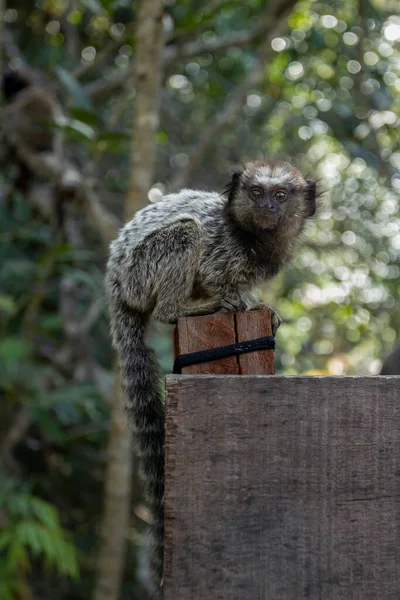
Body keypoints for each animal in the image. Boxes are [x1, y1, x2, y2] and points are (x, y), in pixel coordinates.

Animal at [105, 161, 318, 596]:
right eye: (255, 194)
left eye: (281, 196)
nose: (267, 206)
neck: (255, 239)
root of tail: (116, 287)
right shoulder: (222, 251)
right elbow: (213, 270)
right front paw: (239, 301)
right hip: (140, 272)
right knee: (185, 234)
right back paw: (188, 308)